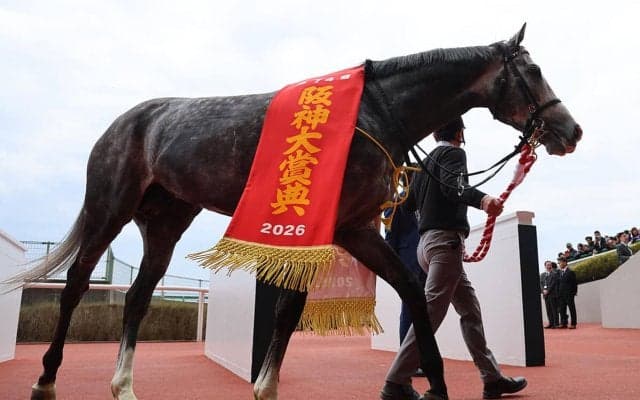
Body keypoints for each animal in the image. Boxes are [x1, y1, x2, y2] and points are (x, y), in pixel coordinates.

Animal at [20, 24, 581, 400]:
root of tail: (125, 122)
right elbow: (289, 311)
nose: (570, 131)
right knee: (74, 285)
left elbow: (412, 293)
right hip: (108, 207)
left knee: (137, 299)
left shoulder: (354, 229)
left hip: (166, 222)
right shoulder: (316, 231)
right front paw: (265, 387)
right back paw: (46, 379)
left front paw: (434, 386)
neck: (368, 114)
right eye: (534, 70)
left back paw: (123, 385)